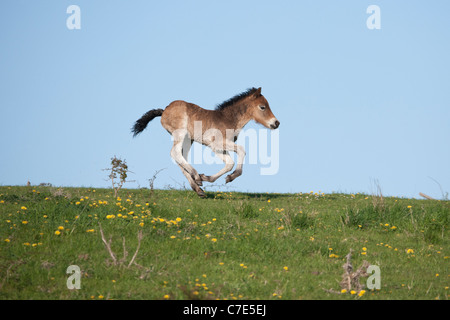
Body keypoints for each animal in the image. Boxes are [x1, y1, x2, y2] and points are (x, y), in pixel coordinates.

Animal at [131, 87, 278, 198]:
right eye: (263, 107)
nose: (276, 123)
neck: (228, 120)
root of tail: (164, 111)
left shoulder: (218, 148)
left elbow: (229, 164)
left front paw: (210, 177)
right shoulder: (217, 144)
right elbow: (241, 150)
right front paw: (230, 176)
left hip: (188, 140)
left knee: (180, 158)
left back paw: (198, 188)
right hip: (180, 134)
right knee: (175, 153)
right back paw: (196, 177)